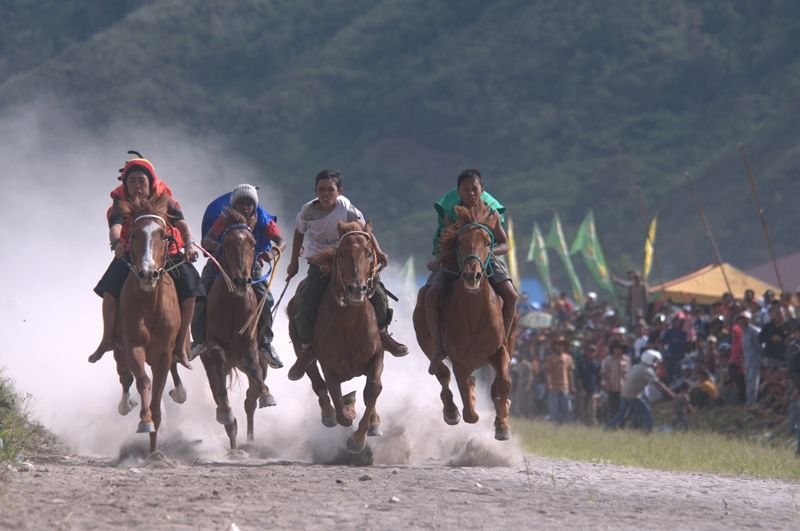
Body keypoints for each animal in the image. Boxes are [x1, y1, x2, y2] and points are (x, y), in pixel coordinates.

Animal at [115, 195, 181, 454]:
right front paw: (145, 422)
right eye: (134, 235)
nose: (147, 273)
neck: (151, 307)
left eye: (163, 235)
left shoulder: (164, 353)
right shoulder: (133, 345)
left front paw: (154, 451)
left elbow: (158, 391)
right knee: (124, 376)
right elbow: (143, 380)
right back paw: (126, 404)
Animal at [202, 208, 274, 448]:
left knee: (249, 399)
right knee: (219, 394)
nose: (242, 280)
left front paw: (267, 396)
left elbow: (255, 377)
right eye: (227, 244)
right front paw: (226, 414)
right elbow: (217, 358)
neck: (234, 303)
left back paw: (249, 440)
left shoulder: (251, 346)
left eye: (252, 244)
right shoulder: (213, 347)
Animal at [290, 220, 386, 454]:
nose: (356, 289)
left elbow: (373, 389)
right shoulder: (329, 367)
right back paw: (328, 414)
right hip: (304, 355)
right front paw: (348, 412)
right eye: (341, 253)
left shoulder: (377, 356)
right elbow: (339, 406)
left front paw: (359, 438)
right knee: (317, 384)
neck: (348, 325)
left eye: (369, 253)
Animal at [412, 206, 512, 442]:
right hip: (429, 345)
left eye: (488, 241)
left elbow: (503, 382)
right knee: (442, 373)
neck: (475, 315)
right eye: (460, 241)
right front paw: (471, 403)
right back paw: (450, 411)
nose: (471, 275)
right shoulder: (459, 361)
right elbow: (470, 413)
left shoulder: (499, 350)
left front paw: (502, 424)